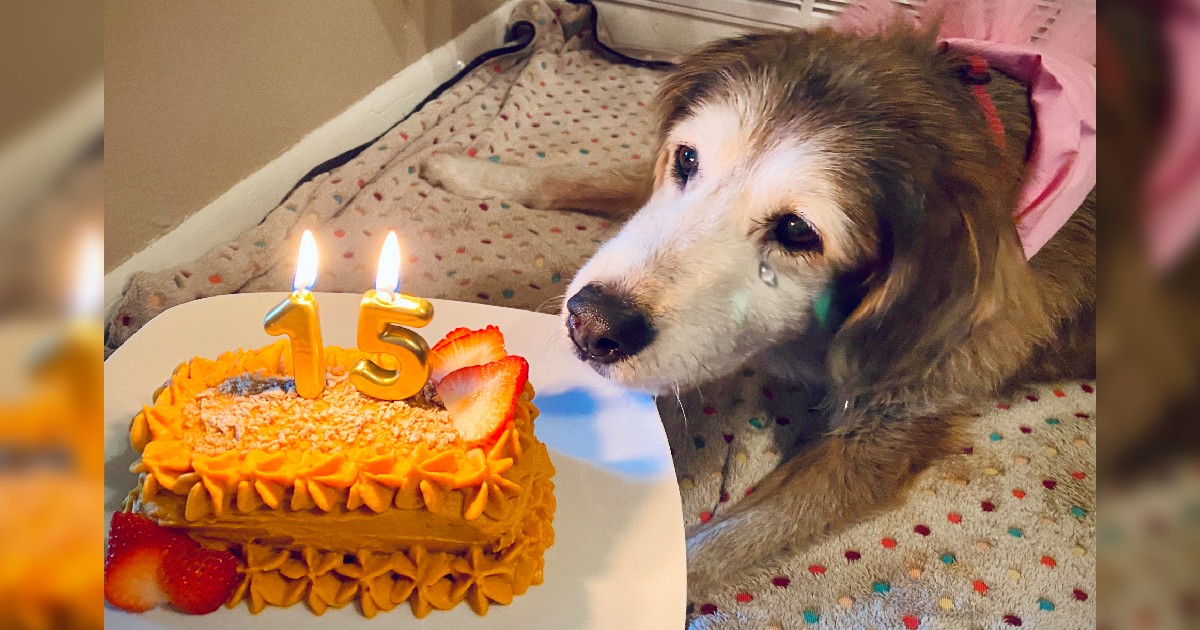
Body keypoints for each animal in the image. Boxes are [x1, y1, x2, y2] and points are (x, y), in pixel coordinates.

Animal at [420, 20, 1099, 600]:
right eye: (686, 159)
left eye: (798, 231)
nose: (591, 325)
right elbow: (593, 179)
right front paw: (470, 171)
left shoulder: (885, 429)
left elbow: (713, 545)